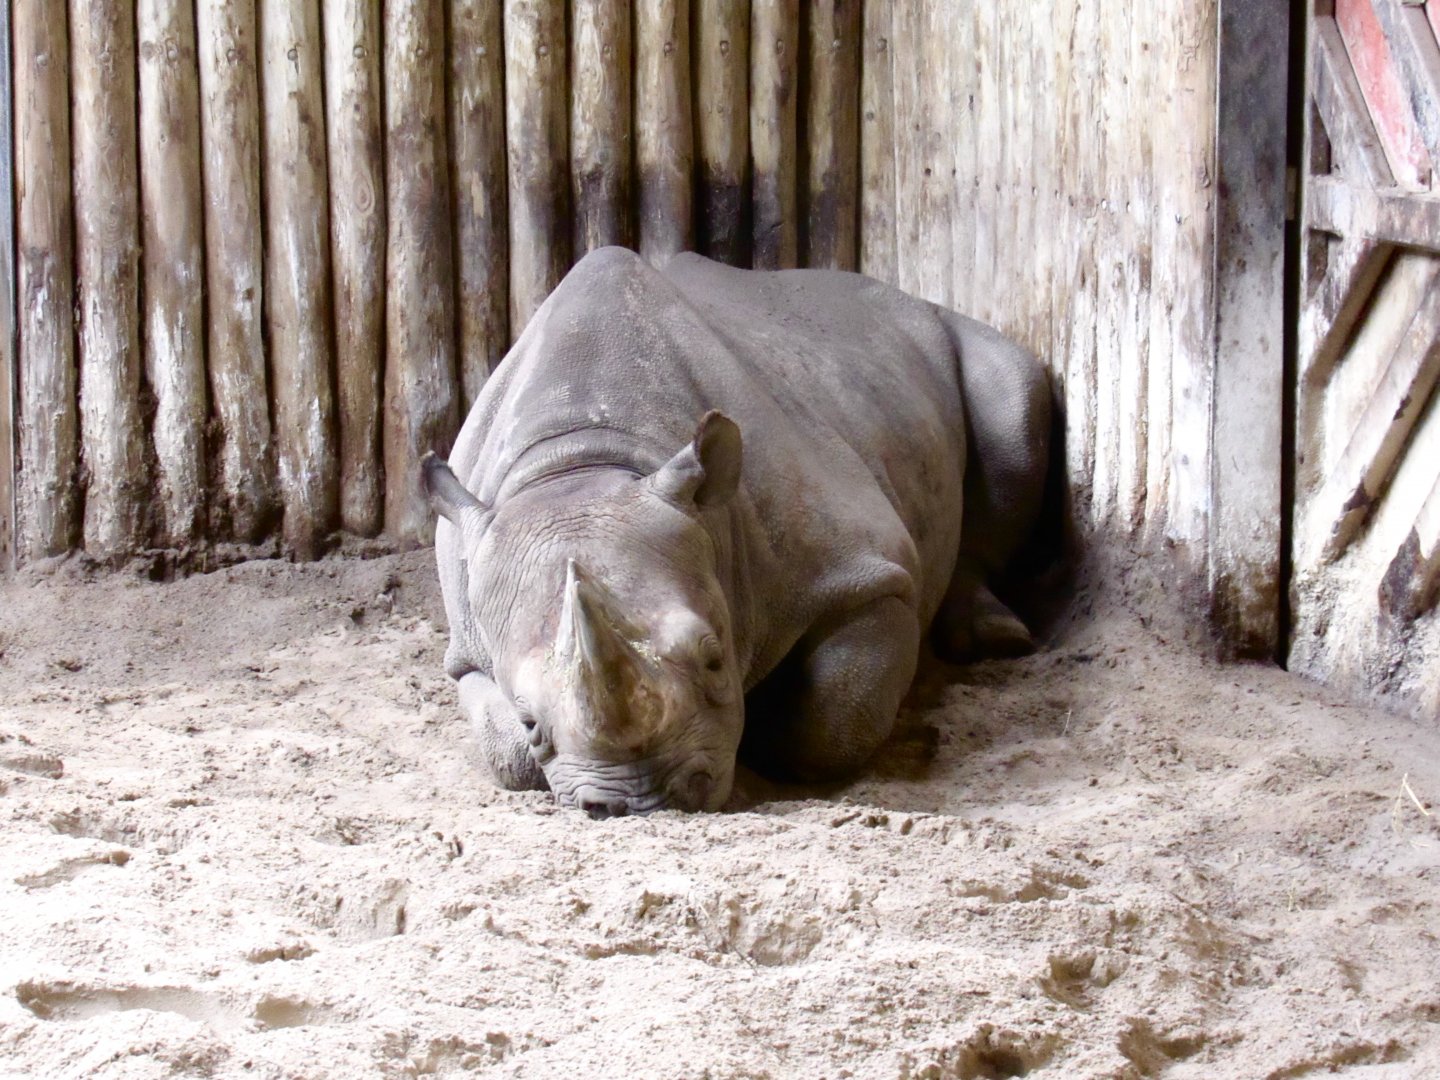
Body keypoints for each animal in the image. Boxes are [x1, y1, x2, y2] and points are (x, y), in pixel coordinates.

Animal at [423, 247, 1050, 816]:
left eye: (715, 660)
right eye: (529, 718)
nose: (645, 801)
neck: (582, 459)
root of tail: (893, 293)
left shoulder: (870, 573)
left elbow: (836, 714)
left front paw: (766, 726)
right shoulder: (466, 647)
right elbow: (508, 754)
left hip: (941, 338)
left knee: (1016, 403)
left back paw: (995, 635)